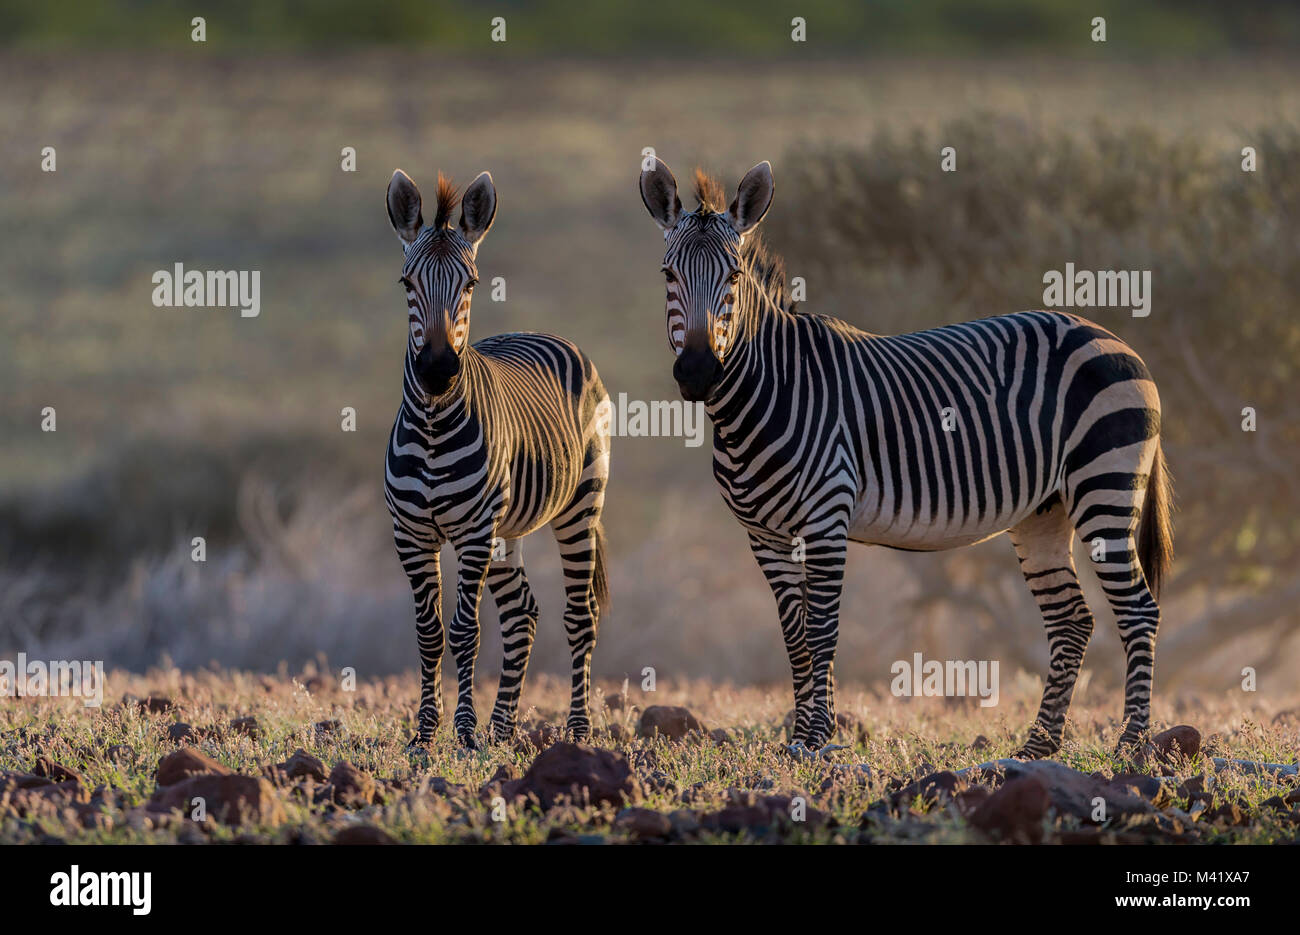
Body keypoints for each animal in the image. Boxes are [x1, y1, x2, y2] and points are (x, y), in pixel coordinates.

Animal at [382, 167, 611, 749]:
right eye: (407, 283)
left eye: (470, 284)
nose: (437, 370)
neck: (433, 426)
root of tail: (538, 332)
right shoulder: (411, 535)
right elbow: (430, 631)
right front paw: (425, 732)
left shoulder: (472, 532)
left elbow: (466, 630)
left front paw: (462, 732)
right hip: (507, 530)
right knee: (523, 614)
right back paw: (503, 730)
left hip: (579, 505)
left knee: (580, 615)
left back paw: (577, 729)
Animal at [634, 157, 1175, 759]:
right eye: (667, 275)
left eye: (732, 277)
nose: (698, 372)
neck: (761, 399)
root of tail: (1117, 340)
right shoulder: (764, 537)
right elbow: (795, 636)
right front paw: (799, 742)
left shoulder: (827, 518)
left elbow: (822, 630)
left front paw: (818, 741)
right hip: (1045, 511)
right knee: (1072, 621)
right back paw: (1038, 747)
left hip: (1105, 485)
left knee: (1138, 611)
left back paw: (1132, 745)